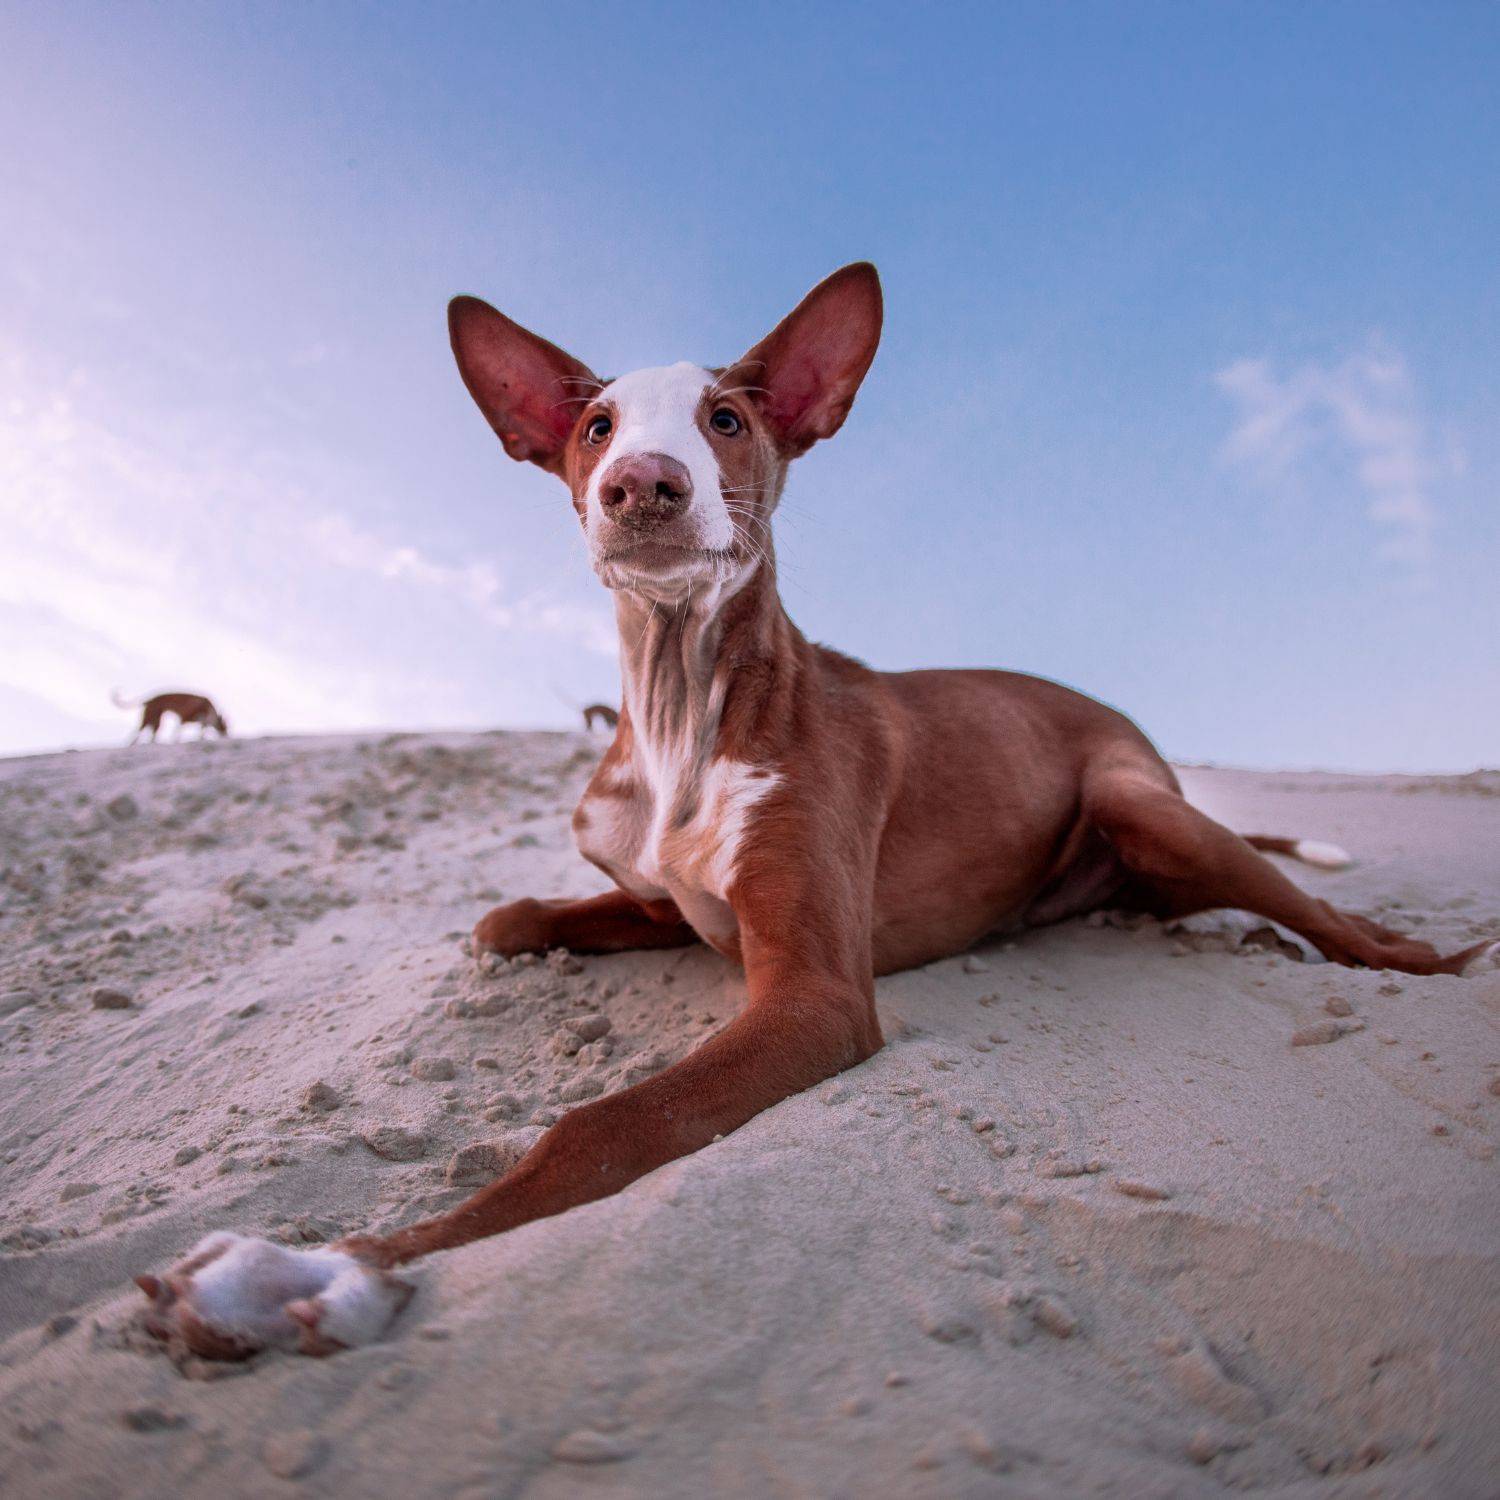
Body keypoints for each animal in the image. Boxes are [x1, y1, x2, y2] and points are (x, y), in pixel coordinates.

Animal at [135, 261, 1494, 1362]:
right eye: (594, 426)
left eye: (727, 419)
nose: (642, 483)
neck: (683, 708)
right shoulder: (662, 902)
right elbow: (507, 917)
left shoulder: (817, 992)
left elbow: (600, 1126)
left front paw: (324, 1268)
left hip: (1140, 800)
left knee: (1358, 931)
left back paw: (1430, 953)